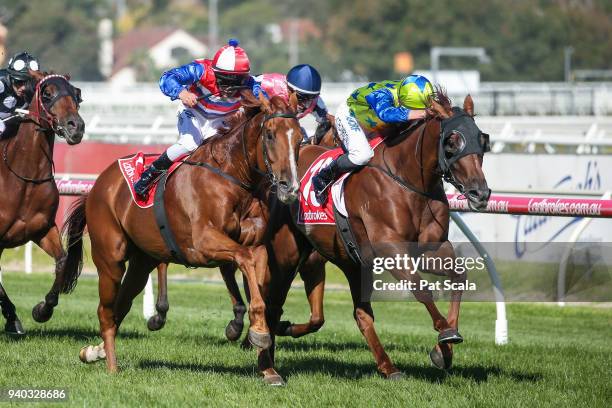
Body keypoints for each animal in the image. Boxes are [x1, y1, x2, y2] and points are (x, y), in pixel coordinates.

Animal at [0, 71, 83, 338]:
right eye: (47, 93)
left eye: (76, 93)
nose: (76, 126)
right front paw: (13, 319)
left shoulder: (42, 229)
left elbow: (62, 261)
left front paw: (42, 309)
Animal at [64, 91, 304, 372]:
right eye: (270, 135)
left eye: (300, 138)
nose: (290, 187)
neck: (231, 178)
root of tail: (97, 186)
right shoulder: (202, 244)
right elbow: (243, 259)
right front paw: (258, 332)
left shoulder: (256, 244)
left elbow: (256, 275)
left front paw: (265, 355)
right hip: (110, 259)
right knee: (105, 310)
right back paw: (112, 366)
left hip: (141, 261)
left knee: (119, 307)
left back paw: (94, 351)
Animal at [256, 91, 492, 382]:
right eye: (452, 141)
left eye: (481, 139)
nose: (480, 193)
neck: (408, 181)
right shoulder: (391, 249)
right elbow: (421, 288)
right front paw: (444, 331)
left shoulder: (430, 249)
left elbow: (459, 276)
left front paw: (444, 349)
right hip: (287, 253)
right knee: (272, 303)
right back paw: (268, 360)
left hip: (347, 262)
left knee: (360, 314)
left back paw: (388, 367)